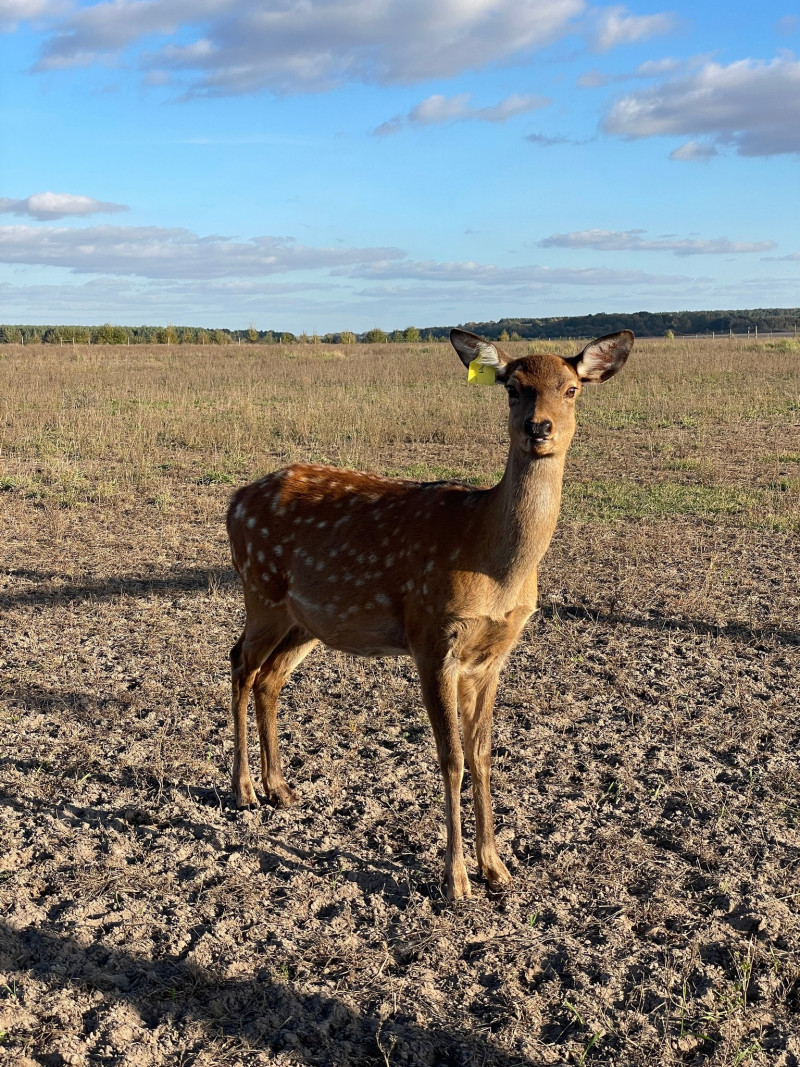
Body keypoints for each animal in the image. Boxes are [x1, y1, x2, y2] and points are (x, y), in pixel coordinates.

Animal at [226, 326, 631, 900]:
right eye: (513, 389)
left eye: (571, 389)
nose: (539, 428)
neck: (494, 565)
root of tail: (234, 501)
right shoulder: (431, 636)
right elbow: (452, 758)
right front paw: (455, 879)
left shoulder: (491, 655)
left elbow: (483, 755)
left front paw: (496, 868)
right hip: (259, 589)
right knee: (239, 662)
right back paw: (243, 789)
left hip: (308, 619)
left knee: (269, 678)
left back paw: (279, 787)